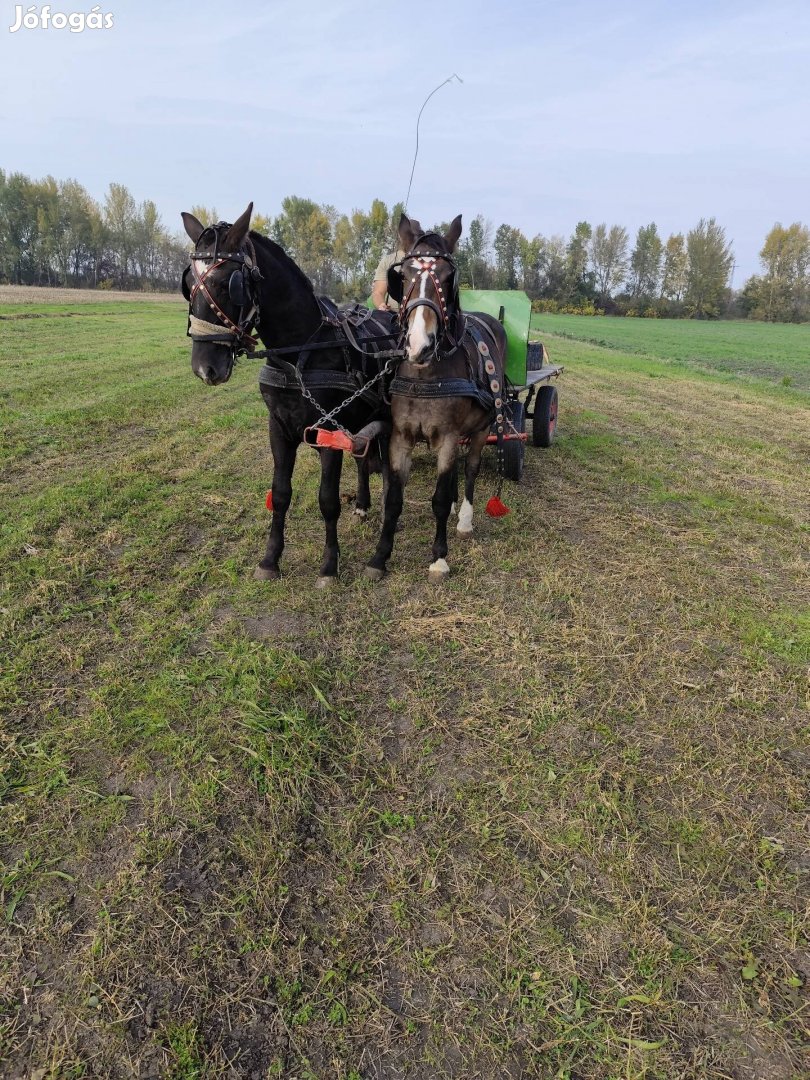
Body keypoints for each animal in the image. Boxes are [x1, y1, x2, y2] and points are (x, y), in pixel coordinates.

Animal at [182, 205, 401, 587]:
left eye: (229, 284)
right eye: (189, 284)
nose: (204, 368)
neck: (301, 351)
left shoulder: (328, 433)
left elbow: (327, 500)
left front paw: (329, 566)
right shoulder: (279, 429)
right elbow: (281, 493)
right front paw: (270, 560)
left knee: (390, 472)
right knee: (363, 459)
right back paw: (362, 503)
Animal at [367, 212, 507, 583]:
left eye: (447, 277)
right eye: (403, 275)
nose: (420, 344)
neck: (424, 375)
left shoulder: (447, 437)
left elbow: (440, 500)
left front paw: (439, 557)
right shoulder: (400, 438)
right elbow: (394, 499)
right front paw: (379, 556)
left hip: (481, 428)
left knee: (470, 469)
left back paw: (466, 517)